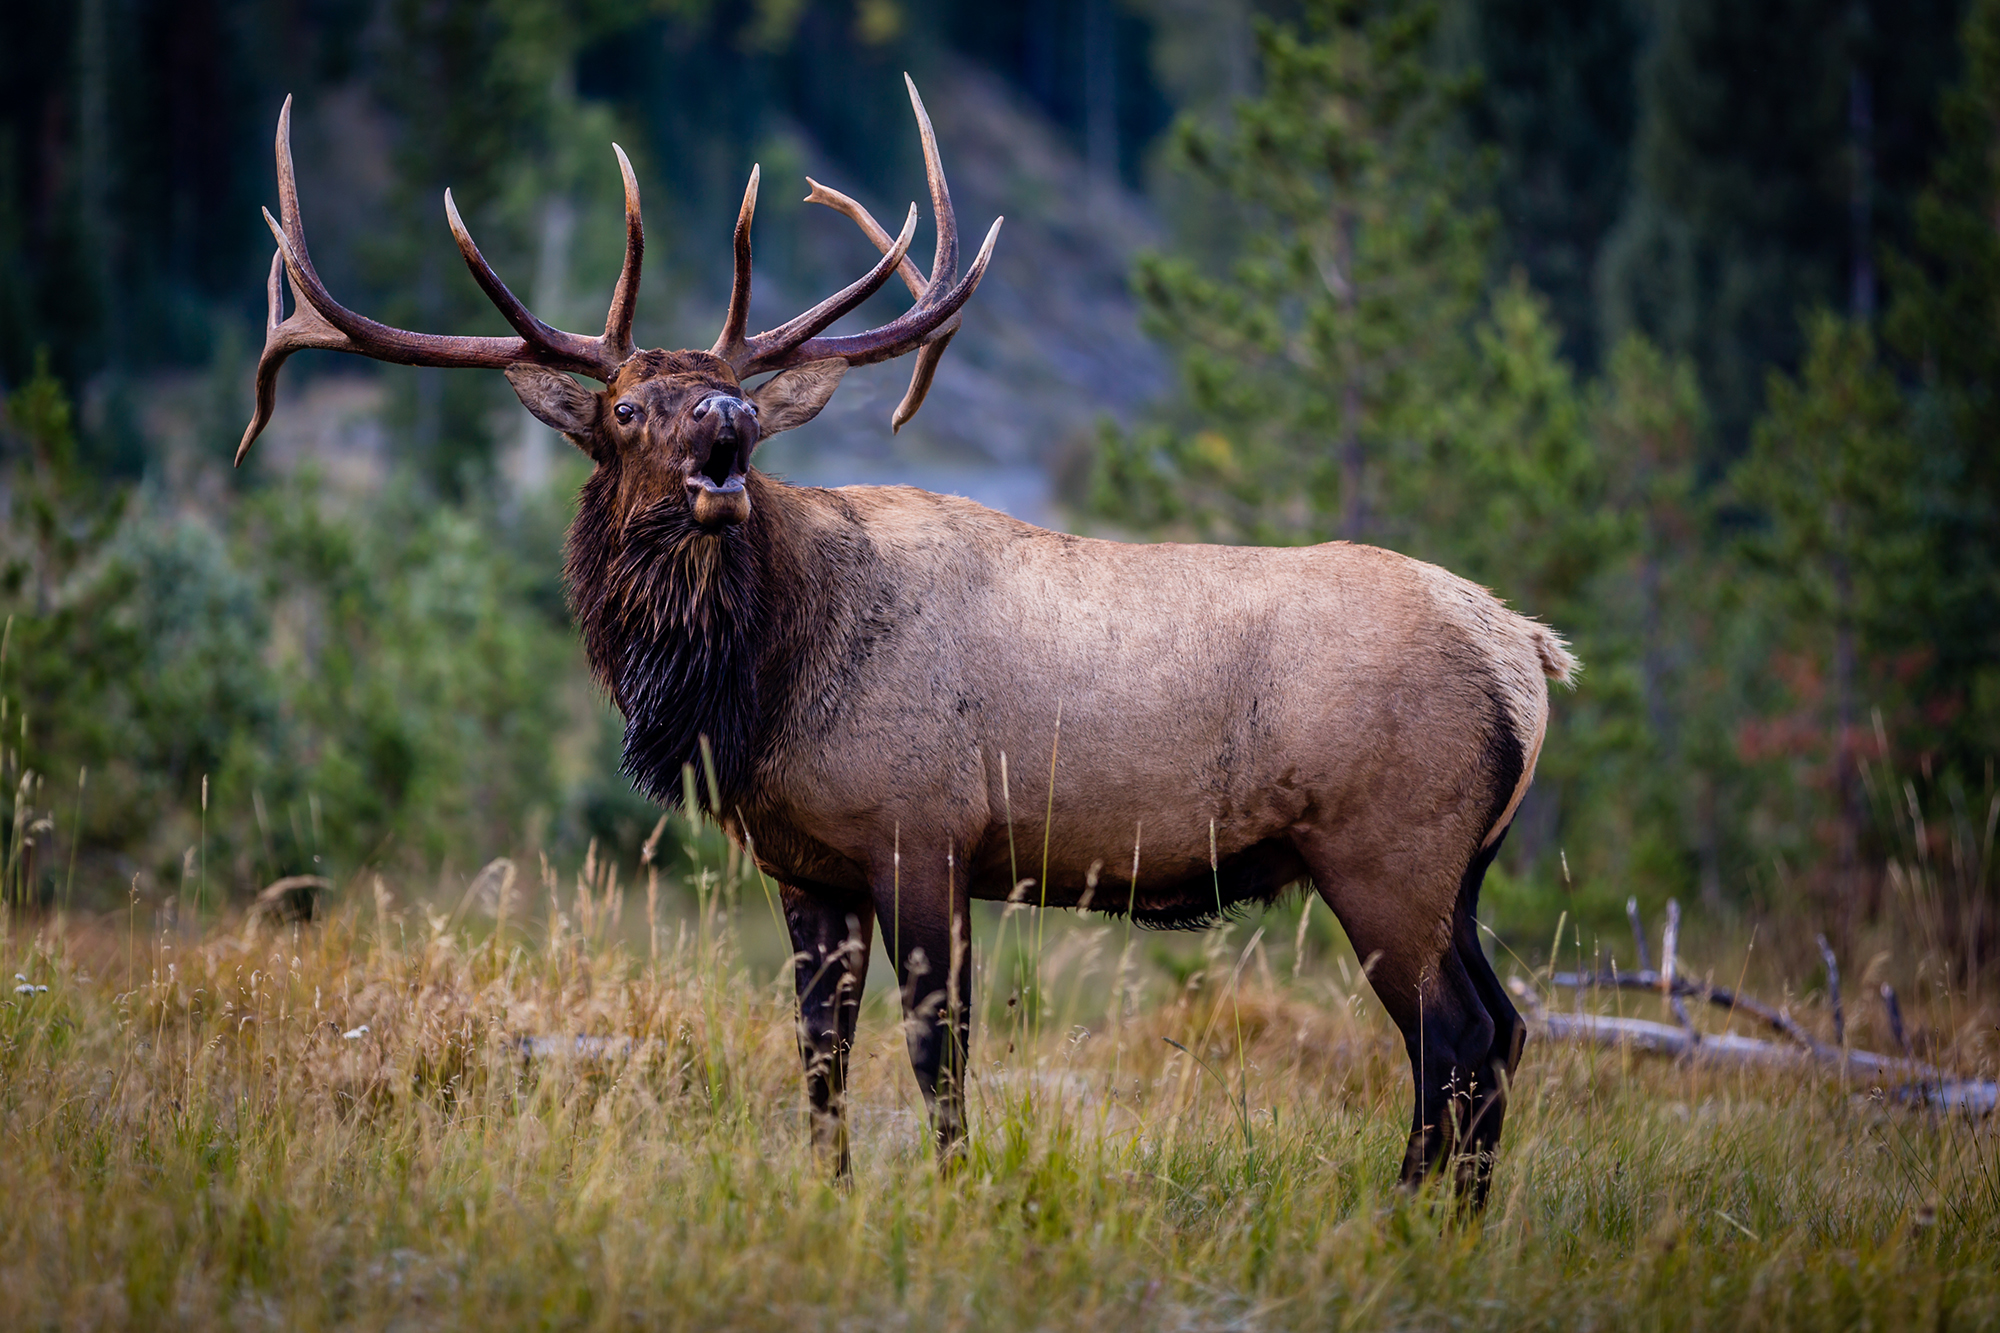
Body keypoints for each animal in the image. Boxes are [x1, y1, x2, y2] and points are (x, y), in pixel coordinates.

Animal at [238, 85, 1576, 1200]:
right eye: (621, 407)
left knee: (1455, 1038)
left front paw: (948, 1191)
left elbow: (939, 1049)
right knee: (1500, 1031)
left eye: (730, 397)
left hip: (1385, 850)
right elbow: (818, 1049)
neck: (759, 688)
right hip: (1456, 869)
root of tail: (1527, 651)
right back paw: (1442, 1214)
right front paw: (827, 1190)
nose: (725, 420)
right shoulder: (806, 865)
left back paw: (1408, 1212)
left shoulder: (922, 832)